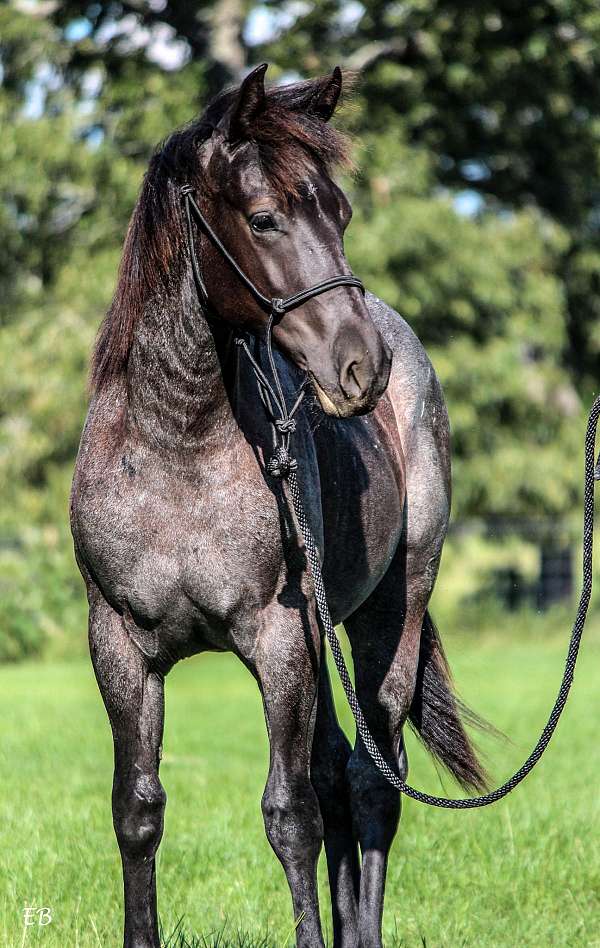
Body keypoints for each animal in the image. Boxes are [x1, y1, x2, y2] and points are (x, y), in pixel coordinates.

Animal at [69, 66, 488, 948]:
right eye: (264, 218)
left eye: (342, 212)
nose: (361, 366)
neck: (177, 443)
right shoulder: (118, 646)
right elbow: (137, 809)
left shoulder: (277, 640)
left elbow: (290, 814)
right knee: (336, 772)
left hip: (385, 616)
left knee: (370, 780)